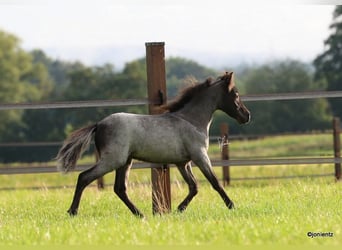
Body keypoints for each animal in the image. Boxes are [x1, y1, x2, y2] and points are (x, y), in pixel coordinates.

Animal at [55, 71, 248, 218]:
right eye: (236, 94)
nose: (247, 116)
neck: (192, 120)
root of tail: (99, 125)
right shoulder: (200, 156)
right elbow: (215, 182)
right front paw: (232, 206)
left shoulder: (182, 163)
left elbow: (194, 186)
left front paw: (178, 209)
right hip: (113, 160)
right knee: (84, 177)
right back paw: (72, 211)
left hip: (125, 162)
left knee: (120, 189)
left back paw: (140, 214)